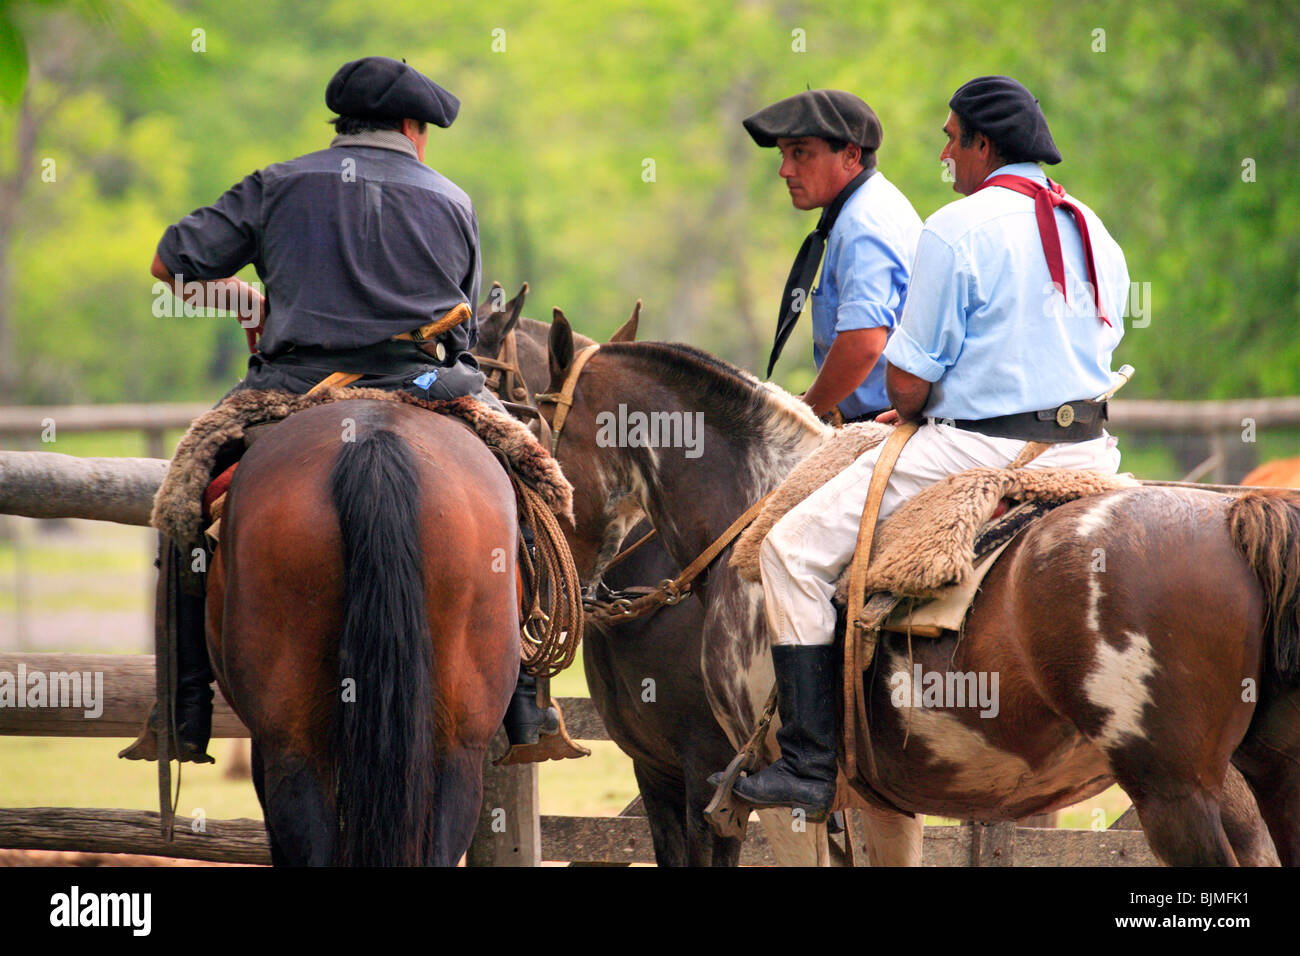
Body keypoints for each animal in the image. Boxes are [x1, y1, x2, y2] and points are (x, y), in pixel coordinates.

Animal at [540, 323, 1300, 866]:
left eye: (543, 433)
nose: (558, 581)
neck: (754, 509)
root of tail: (1237, 516)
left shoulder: (767, 803)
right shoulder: (882, 806)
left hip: (1175, 794)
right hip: (1263, 780)